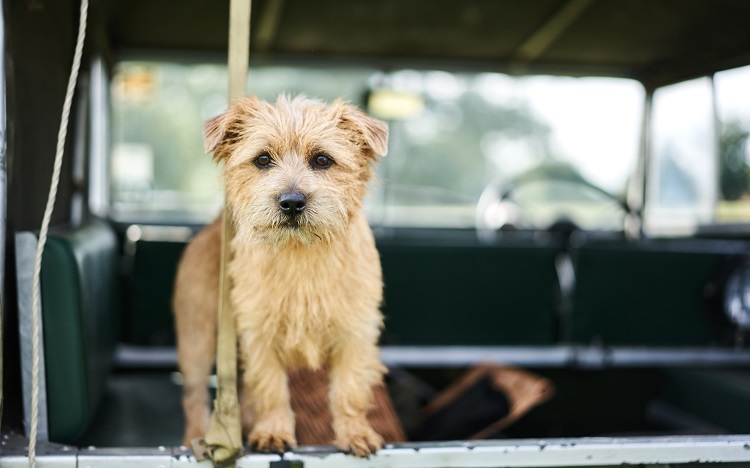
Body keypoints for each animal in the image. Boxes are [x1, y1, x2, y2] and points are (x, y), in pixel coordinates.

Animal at [174, 95, 390, 458]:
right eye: (262, 160)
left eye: (322, 160)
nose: (291, 202)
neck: (300, 254)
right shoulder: (259, 336)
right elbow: (271, 388)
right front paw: (274, 431)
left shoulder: (355, 334)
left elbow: (349, 390)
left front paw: (355, 432)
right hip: (198, 342)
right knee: (193, 395)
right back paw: (197, 437)